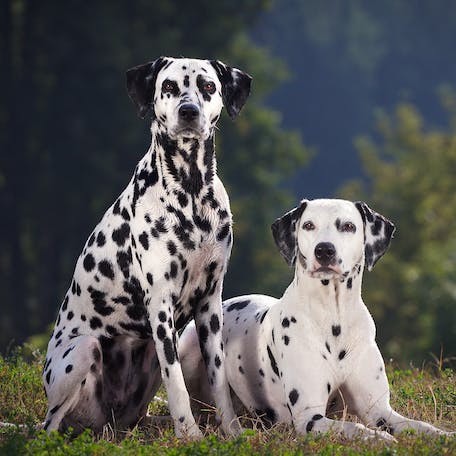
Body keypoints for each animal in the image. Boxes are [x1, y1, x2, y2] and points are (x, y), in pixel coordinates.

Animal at [41, 57, 251, 438]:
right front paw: (190, 435)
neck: (191, 192)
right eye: (168, 86)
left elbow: (219, 379)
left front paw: (232, 432)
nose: (188, 111)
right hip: (83, 351)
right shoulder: (161, 306)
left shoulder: (210, 303)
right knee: (50, 425)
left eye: (208, 86)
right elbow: (177, 384)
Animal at [180, 199, 454, 438]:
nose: (324, 250)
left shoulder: (380, 411)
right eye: (308, 225)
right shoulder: (309, 417)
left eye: (348, 226)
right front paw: (380, 439)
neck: (333, 318)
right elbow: (355, 427)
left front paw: (444, 436)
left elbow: (420, 426)